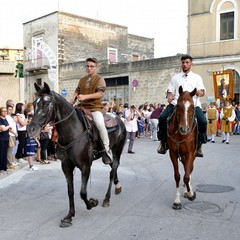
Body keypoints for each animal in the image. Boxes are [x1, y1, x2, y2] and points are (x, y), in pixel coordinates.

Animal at [27, 82, 126, 227]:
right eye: (34, 104)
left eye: (46, 104)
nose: (31, 129)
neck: (72, 132)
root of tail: (118, 117)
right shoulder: (66, 166)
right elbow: (70, 191)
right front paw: (69, 216)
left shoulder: (85, 166)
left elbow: (82, 192)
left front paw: (92, 203)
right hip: (107, 155)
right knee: (112, 166)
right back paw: (117, 187)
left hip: (117, 150)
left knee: (113, 169)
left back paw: (107, 198)